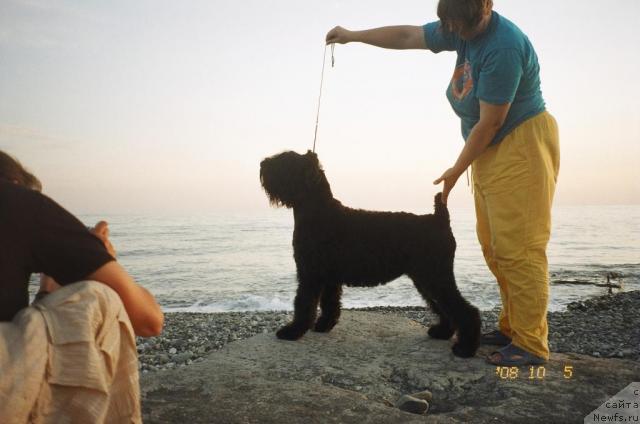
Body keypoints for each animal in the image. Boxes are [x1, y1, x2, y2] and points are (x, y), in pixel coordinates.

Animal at [260, 151, 480, 356]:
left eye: (286, 161)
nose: (262, 164)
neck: (318, 211)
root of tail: (439, 219)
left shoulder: (309, 274)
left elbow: (303, 303)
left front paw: (291, 332)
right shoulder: (329, 277)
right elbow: (330, 303)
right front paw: (323, 326)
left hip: (435, 276)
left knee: (464, 310)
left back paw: (465, 348)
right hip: (426, 279)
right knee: (444, 307)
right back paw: (442, 332)